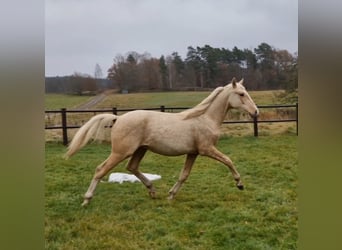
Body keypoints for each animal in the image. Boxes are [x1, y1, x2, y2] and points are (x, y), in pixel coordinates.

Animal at [65, 77, 260, 205]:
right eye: (241, 94)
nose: (256, 112)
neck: (205, 118)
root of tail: (118, 119)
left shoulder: (193, 153)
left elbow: (184, 175)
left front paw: (171, 195)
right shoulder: (207, 149)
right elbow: (228, 160)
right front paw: (240, 184)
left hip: (140, 149)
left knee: (132, 167)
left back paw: (152, 191)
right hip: (121, 152)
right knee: (101, 169)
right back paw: (86, 200)